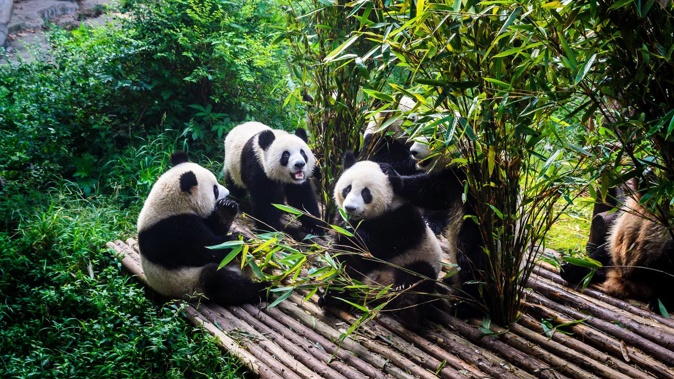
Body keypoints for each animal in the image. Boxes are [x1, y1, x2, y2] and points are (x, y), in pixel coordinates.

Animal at [136, 151, 268, 306]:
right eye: (215, 189)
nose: (227, 192)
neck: (172, 204)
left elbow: (216, 228)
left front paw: (226, 208)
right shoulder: (172, 231)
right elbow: (206, 250)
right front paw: (236, 241)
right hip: (191, 283)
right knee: (218, 280)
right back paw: (262, 289)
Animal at [322, 153, 444, 328]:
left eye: (365, 193)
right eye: (347, 188)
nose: (350, 208)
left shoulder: (401, 221)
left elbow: (375, 246)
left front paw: (352, 233)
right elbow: (344, 255)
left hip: (416, 261)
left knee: (420, 277)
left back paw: (409, 309)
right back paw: (333, 296)